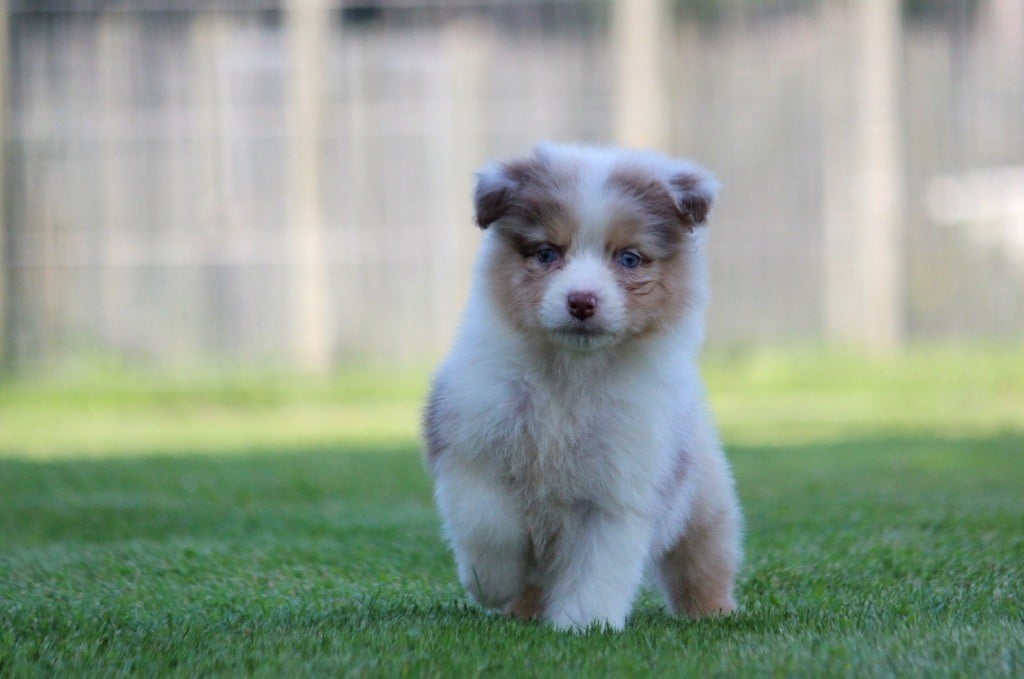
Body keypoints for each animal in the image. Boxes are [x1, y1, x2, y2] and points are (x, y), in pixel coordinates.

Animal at [423, 143, 742, 631]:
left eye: (628, 259)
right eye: (546, 253)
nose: (581, 301)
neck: (570, 375)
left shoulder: (617, 489)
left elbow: (599, 568)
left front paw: (584, 626)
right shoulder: (470, 446)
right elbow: (489, 525)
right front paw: (493, 584)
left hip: (705, 502)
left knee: (703, 561)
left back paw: (712, 612)